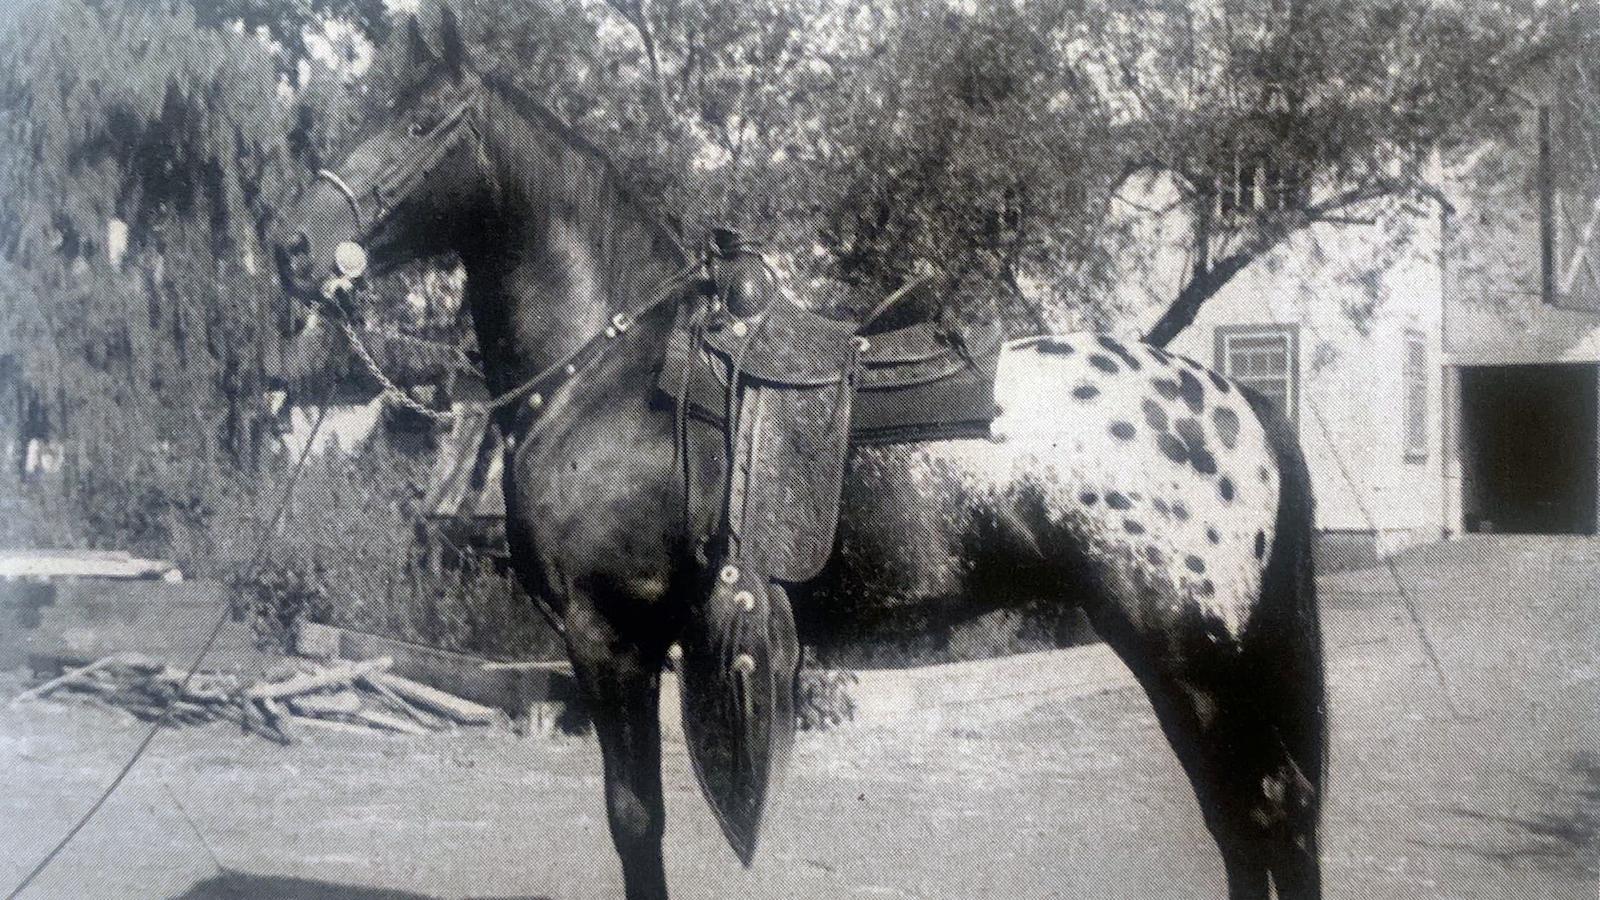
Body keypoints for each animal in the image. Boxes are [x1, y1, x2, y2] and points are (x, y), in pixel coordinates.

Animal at [274, 13, 1326, 899]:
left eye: (420, 124)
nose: (292, 245)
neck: (605, 370)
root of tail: (1239, 405)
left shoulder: (607, 641)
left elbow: (635, 823)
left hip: (1194, 656)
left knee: (1263, 811)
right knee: (1255, 819)